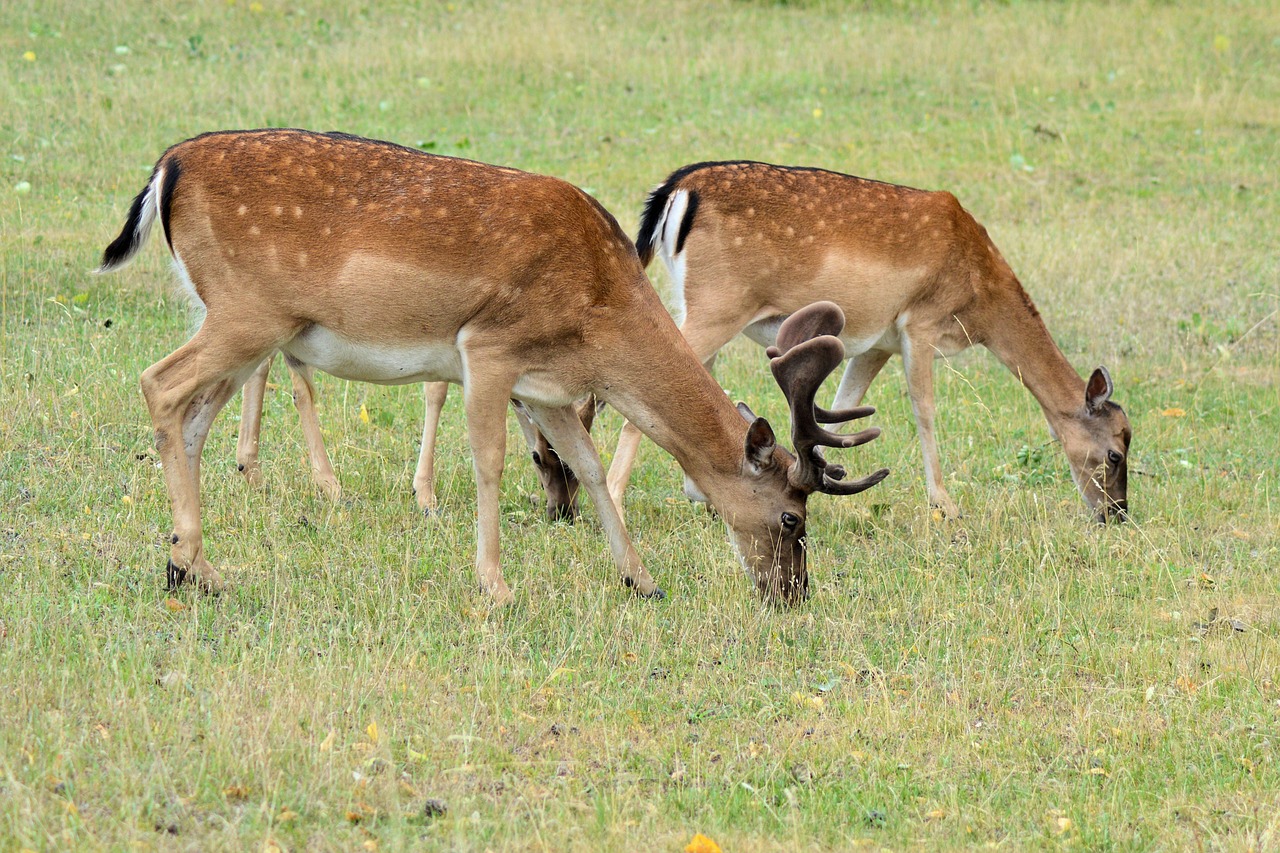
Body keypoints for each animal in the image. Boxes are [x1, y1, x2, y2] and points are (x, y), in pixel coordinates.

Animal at [232, 356, 591, 517]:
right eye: (540, 457)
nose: (565, 510)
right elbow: (437, 388)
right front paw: (425, 494)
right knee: (298, 384)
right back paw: (330, 484)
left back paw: (250, 468)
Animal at [601, 157, 1131, 517]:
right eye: (1114, 451)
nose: (1116, 513)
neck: (981, 294)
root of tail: (676, 188)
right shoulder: (920, 322)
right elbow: (924, 409)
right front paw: (945, 504)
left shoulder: (876, 343)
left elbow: (839, 408)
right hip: (718, 305)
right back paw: (614, 497)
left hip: (693, 304)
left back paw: (700, 494)